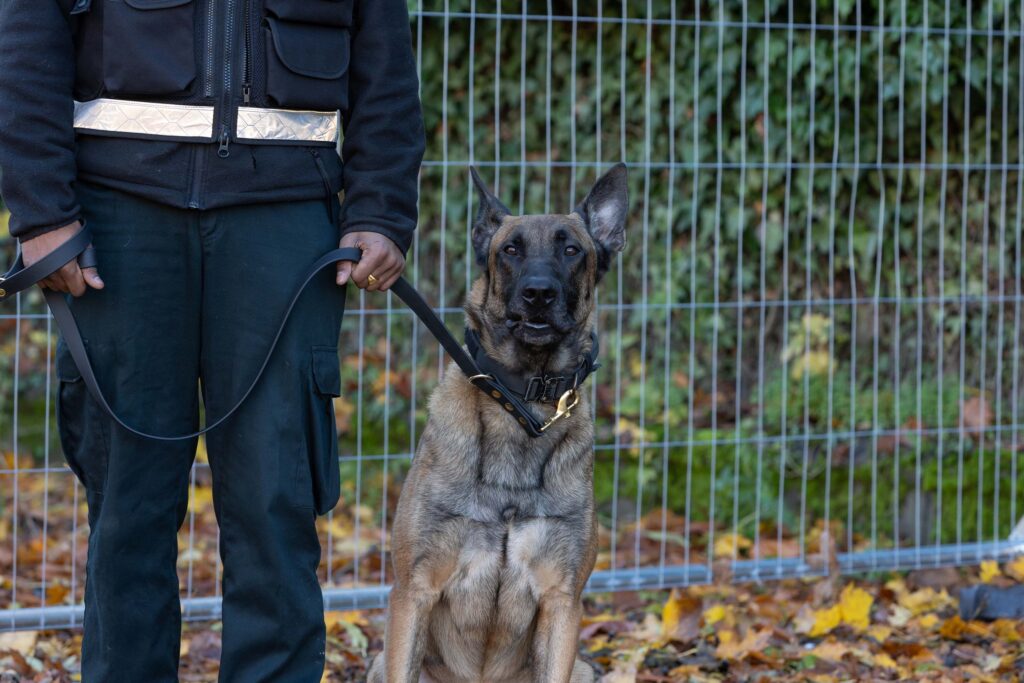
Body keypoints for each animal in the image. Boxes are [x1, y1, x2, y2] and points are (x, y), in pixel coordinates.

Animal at [364, 163, 626, 683]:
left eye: (572, 250)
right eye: (510, 249)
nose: (538, 293)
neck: (522, 401)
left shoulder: (562, 602)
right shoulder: (414, 590)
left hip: (585, 670)